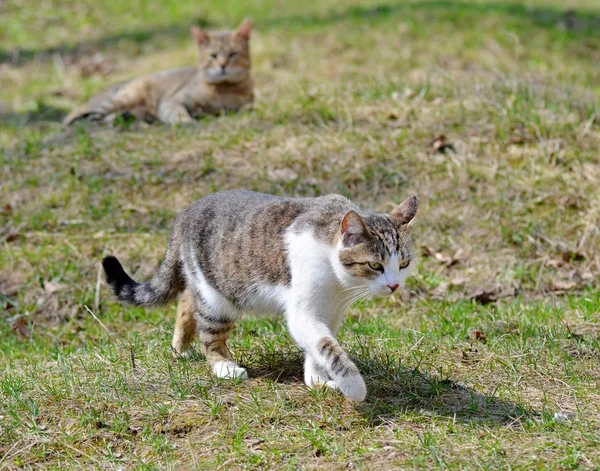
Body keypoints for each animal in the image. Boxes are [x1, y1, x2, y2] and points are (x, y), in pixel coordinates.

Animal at [64, 19, 254, 125]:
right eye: (213, 56)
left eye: (233, 54)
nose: (222, 65)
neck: (223, 90)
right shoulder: (172, 101)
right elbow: (178, 113)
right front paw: (187, 121)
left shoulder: (242, 105)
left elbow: (245, 108)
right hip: (126, 96)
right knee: (90, 116)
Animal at [102, 191, 418, 402]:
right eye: (375, 265)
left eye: (403, 264)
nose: (394, 286)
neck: (337, 282)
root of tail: (188, 211)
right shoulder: (304, 312)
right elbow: (326, 345)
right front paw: (353, 386)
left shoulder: (330, 312)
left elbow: (318, 347)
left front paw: (317, 380)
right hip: (218, 297)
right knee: (209, 333)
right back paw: (224, 366)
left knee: (186, 300)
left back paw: (179, 347)